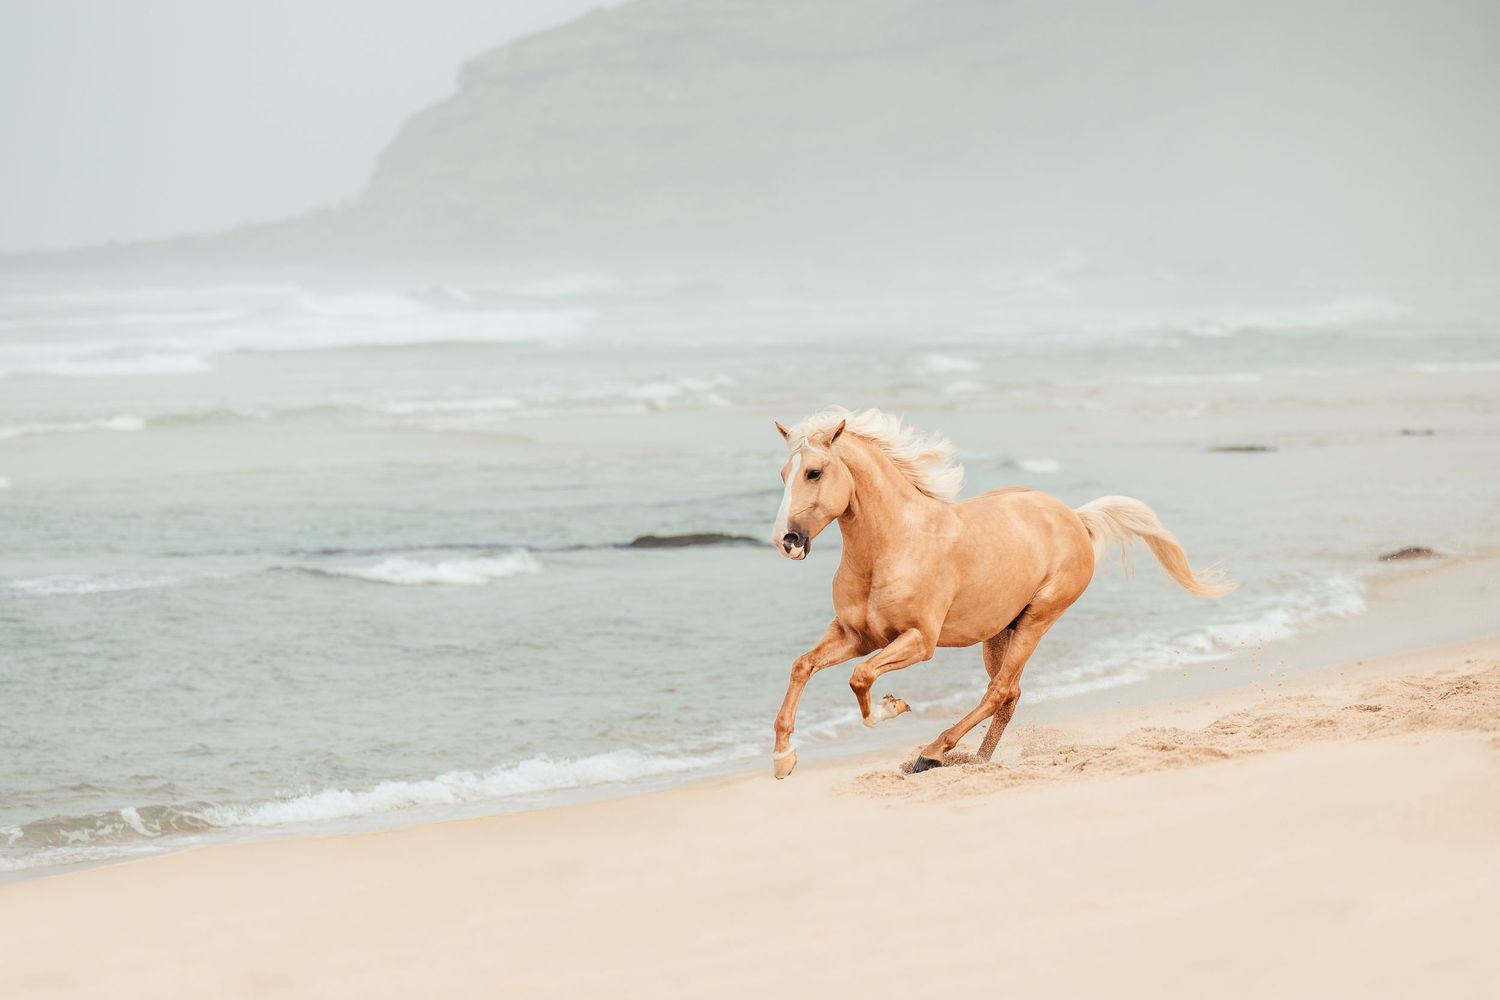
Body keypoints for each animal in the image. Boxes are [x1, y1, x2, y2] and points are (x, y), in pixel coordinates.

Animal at [768, 407, 1233, 778]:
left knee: (999, 691)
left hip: (1037, 619)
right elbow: (802, 666)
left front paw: (893, 707)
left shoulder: (919, 641)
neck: (895, 544)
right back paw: (977, 761)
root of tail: (1074, 518)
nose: (786, 541)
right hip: (998, 632)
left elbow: (860, 677)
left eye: (813, 472)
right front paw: (783, 759)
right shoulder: (856, 635)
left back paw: (932, 754)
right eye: (784, 474)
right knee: (1009, 694)